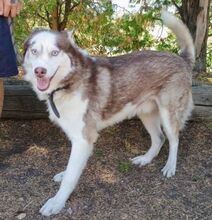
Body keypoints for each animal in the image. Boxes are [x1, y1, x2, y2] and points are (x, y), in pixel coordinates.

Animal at [23, 10, 195, 217]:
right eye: (34, 51)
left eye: (54, 52)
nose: (39, 71)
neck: (69, 83)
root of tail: (181, 58)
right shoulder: (77, 139)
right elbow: (71, 169)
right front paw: (63, 178)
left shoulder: (83, 139)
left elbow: (71, 177)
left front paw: (57, 202)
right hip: (146, 114)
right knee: (159, 138)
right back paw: (145, 159)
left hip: (168, 114)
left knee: (174, 139)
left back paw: (170, 166)